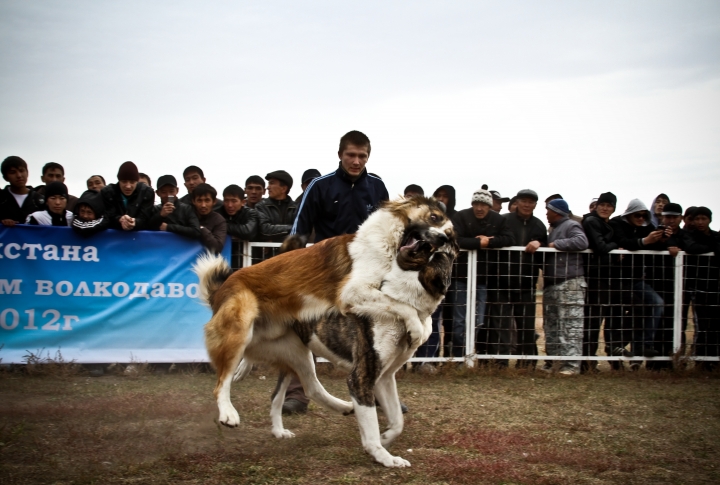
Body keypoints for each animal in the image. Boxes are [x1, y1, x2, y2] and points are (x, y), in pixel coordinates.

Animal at [195, 197, 456, 466]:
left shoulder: (382, 373)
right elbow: (401, 306)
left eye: (449, 233)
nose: (443, 239)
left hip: (297, 353)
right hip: (241, 325)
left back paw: (327, 411)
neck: (390, 248)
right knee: (222, 382)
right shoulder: (353, 293)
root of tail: (220, 289)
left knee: (306, 388)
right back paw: (228, 411)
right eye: (434, 217)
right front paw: (415, 326)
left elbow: (397, 420)